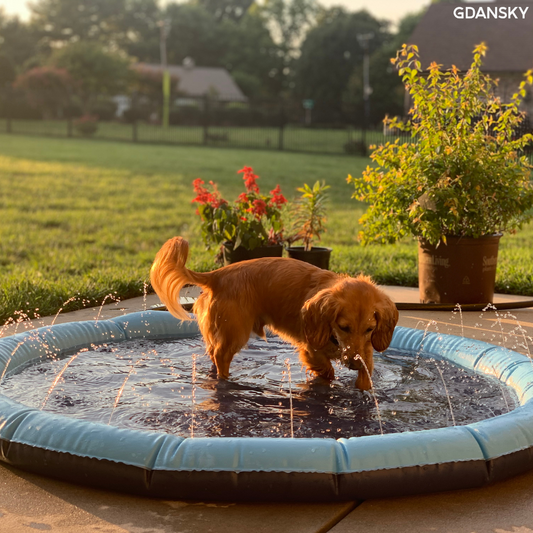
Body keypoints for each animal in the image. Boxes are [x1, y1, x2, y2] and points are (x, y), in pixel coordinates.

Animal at [149, 237, 394, 390]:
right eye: (343, 327)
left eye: (370, 329)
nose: (354, 364)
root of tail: (217, 275)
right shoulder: (311, 349)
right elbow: (328, 371)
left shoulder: (366, 351)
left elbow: (365, 377)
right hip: (235, 333)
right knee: (221, 357)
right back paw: (227, 381)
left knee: (212, 353)